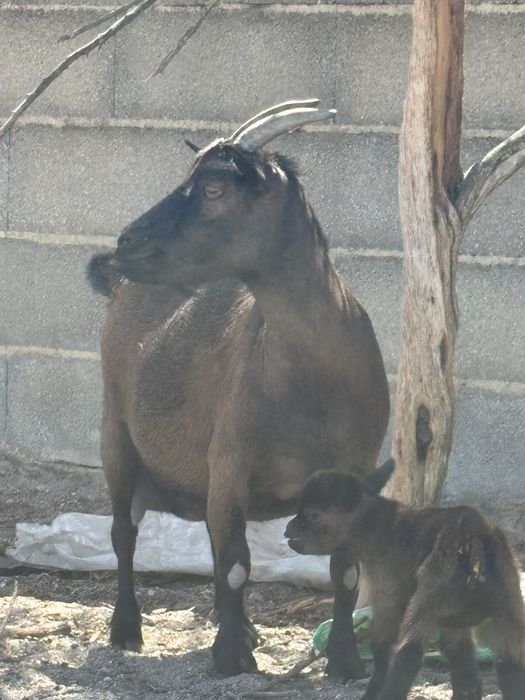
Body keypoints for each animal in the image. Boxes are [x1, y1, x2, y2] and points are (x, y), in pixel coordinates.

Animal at [88, 100, 390, 677]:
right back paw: (127, 629)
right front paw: (231, 657)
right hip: (115, 431)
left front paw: (345, 662)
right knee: (124, 533)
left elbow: (344, 570)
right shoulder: (230, 460)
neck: (312, 383)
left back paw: (242, 626)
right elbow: (234, 565)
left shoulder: (355, 470)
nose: (126, 241)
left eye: (213, 189)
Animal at [286, 460, 525, 700]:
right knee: (510, 664)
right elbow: (462, 663)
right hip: (507, 597)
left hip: (432, 588)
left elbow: (383, 647)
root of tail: (474, 541)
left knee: (409, 653)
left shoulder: (387, 589)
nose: (288, 529)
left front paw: (372, 691)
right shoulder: (454, 621)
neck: (380, 529)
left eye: (313, 515)